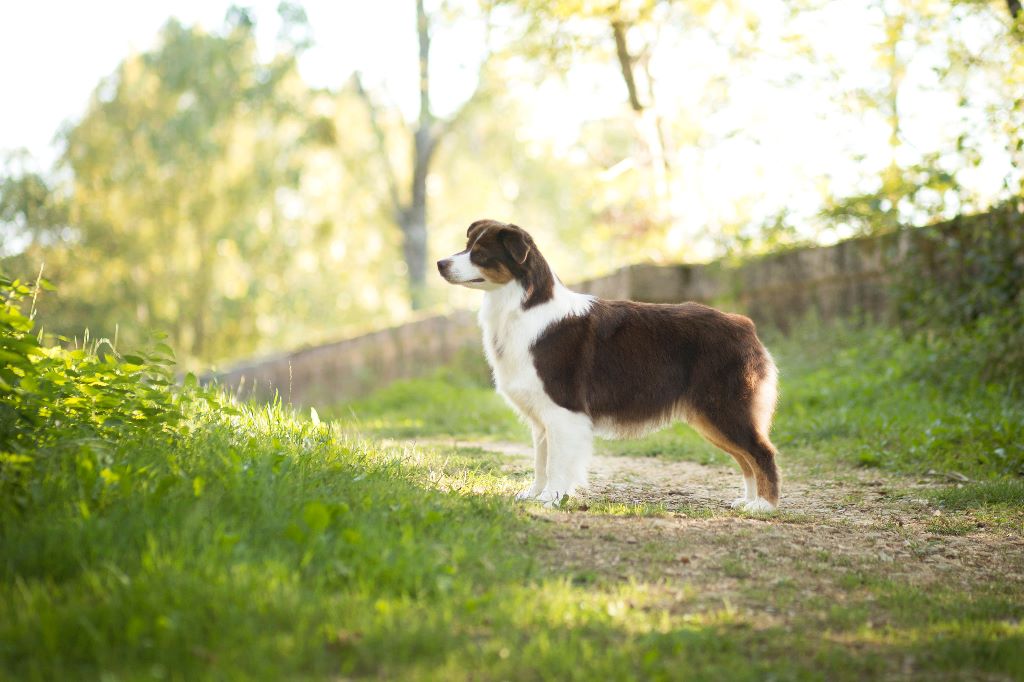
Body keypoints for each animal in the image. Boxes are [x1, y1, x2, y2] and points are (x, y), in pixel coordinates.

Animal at [436, 218, 778, 509]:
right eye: (466, 246)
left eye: (480, 253)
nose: (440, 264)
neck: (523, 308)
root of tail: (744, 325)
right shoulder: (542, 416)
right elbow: (540, 462)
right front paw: (534, 495)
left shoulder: (563, 409)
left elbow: (556, 463)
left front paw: (551, 499)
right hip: (709, 416)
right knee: (745, 458)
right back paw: (748, 501)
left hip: (723, 407)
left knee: (761, 451)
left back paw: (764, 506)